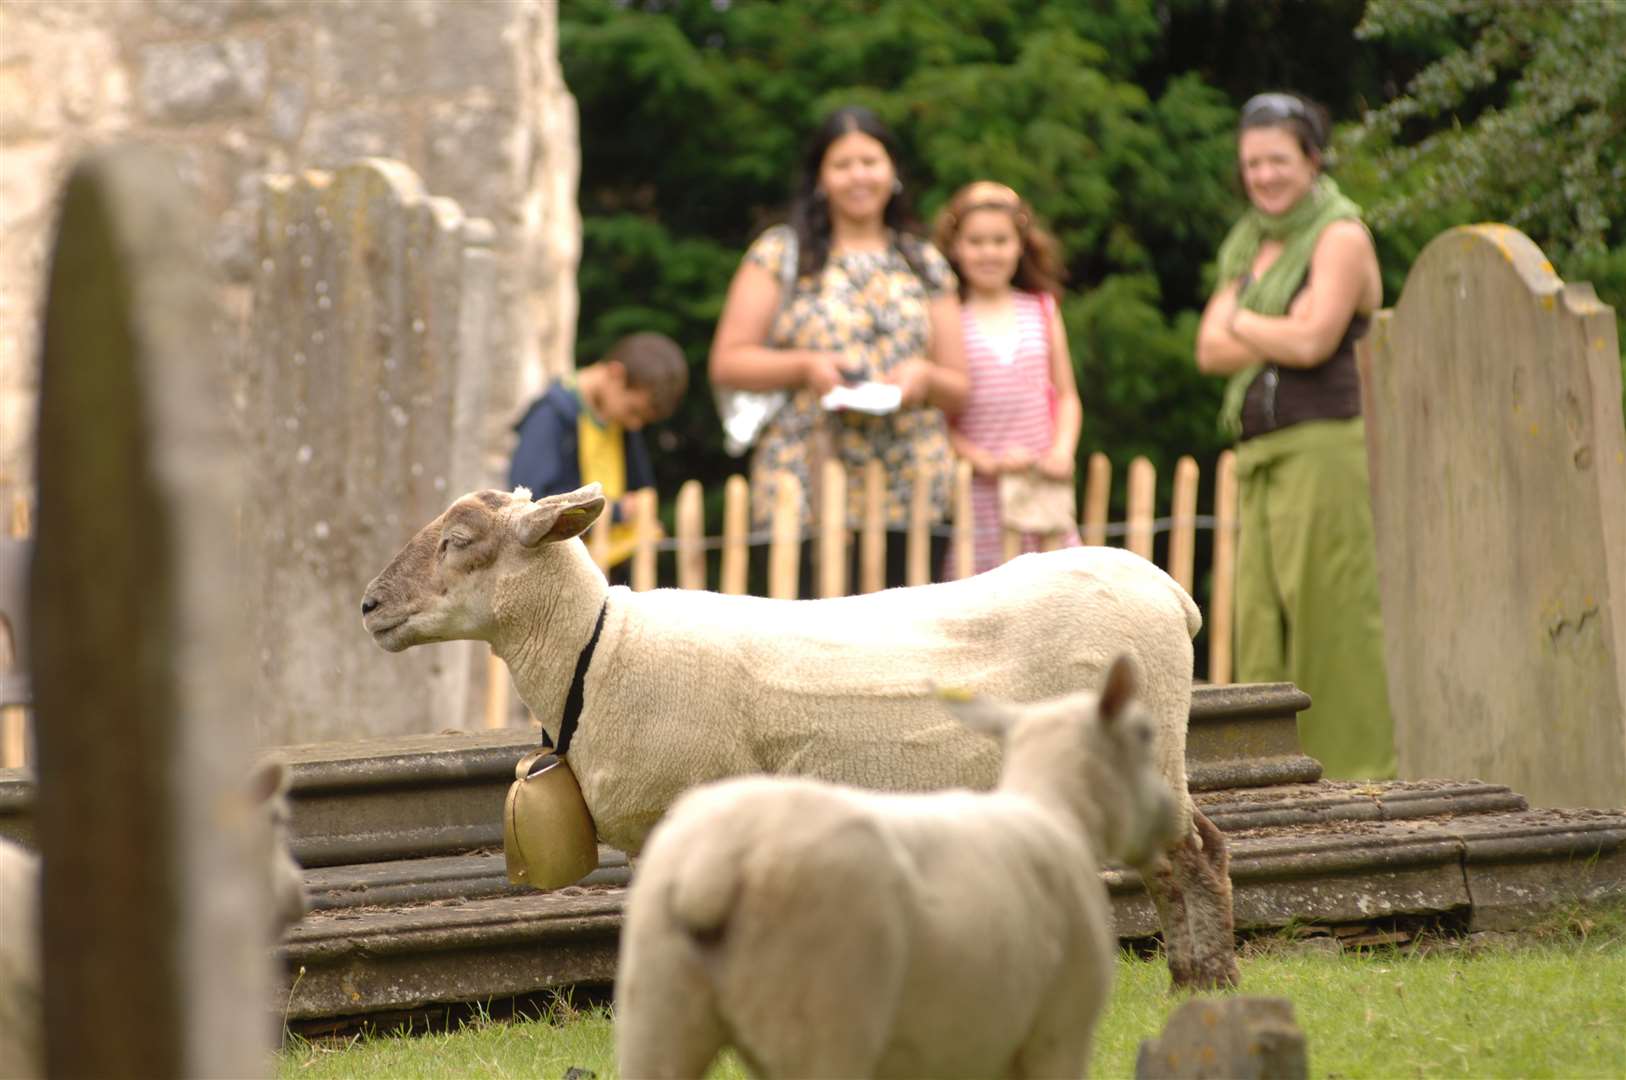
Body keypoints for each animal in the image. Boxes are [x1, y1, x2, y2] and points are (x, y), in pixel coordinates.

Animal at [362, 484, 1235, 988]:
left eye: (459, 542)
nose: (369, 606)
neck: (599, 646)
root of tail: (1171, 592)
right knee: (1190, 854)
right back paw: (1191, 977)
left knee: (1191, 856)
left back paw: (1211, 980)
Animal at [614, 657, 1177, 1080]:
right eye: (1145, 734)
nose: (1169, 818)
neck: (1056, 811)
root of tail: (714, 862)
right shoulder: (1058, 1032)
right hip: (823, 1018)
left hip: (656, 1009)